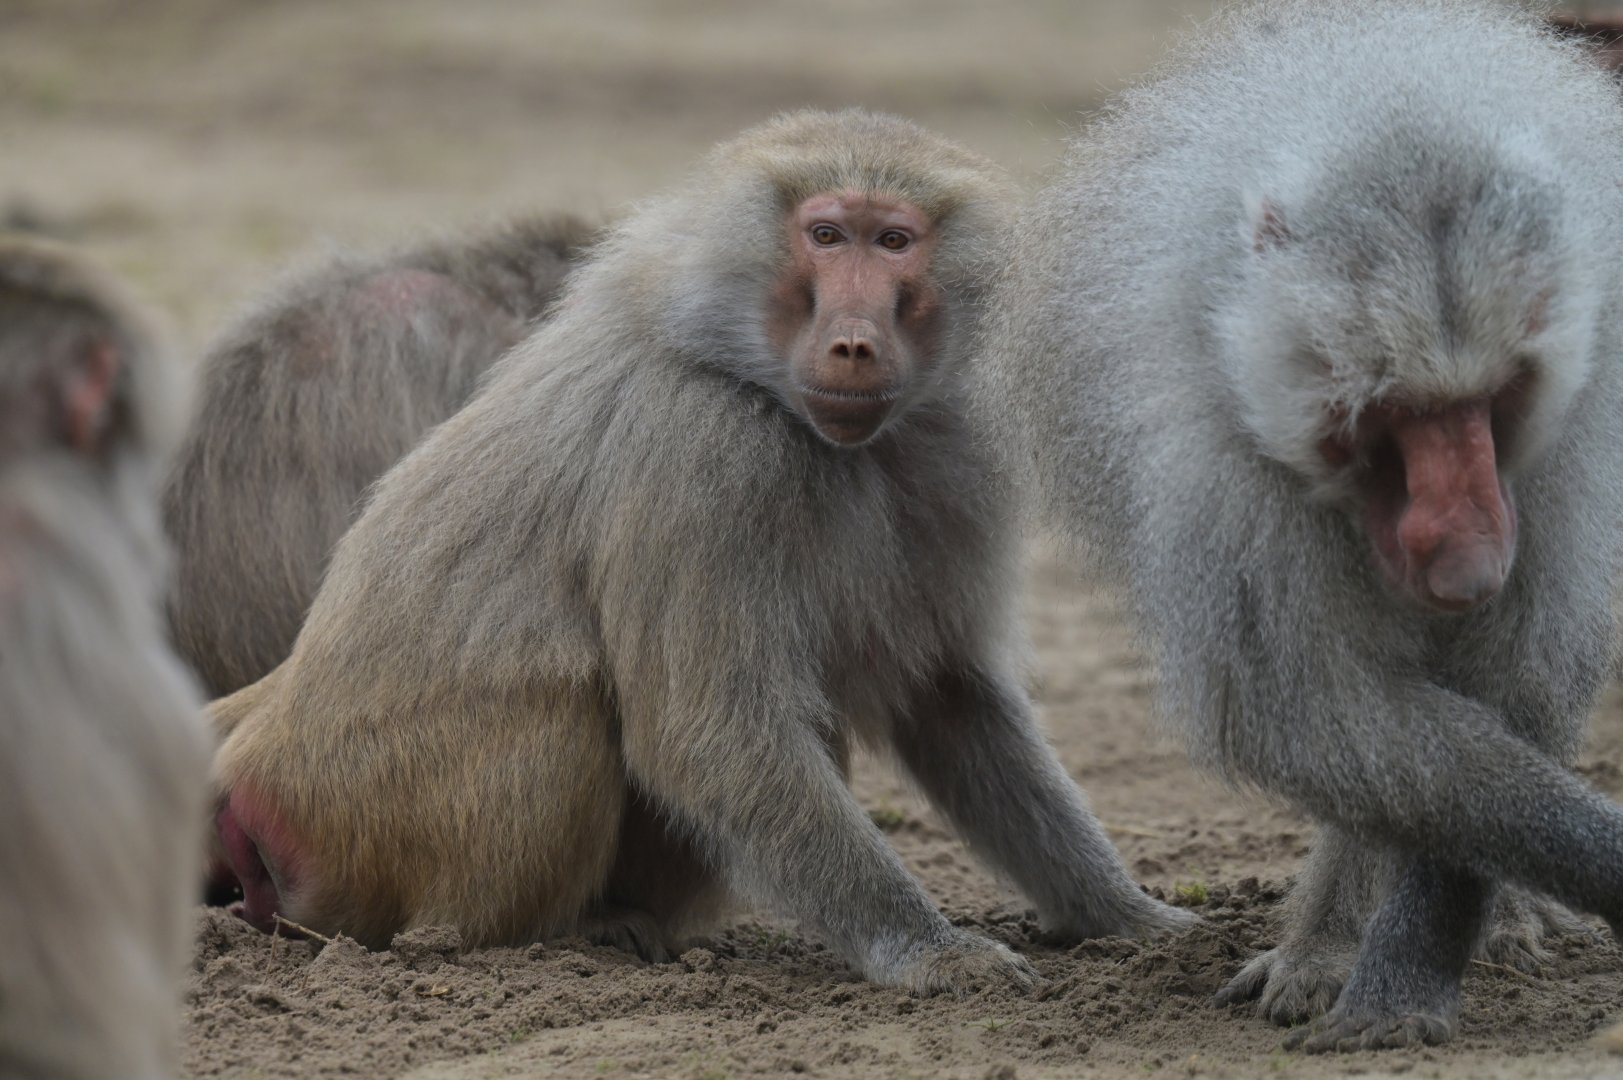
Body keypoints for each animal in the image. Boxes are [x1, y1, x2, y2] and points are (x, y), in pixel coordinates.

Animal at [974, 0, 1623, 1052]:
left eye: (1488, 403)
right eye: (1391, 416)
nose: (1468, 557)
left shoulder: (1572, 424)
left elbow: (1513, 669)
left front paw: (1403, 975)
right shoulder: (1221, 472)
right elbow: (1307, 716)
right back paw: (1329, 945)